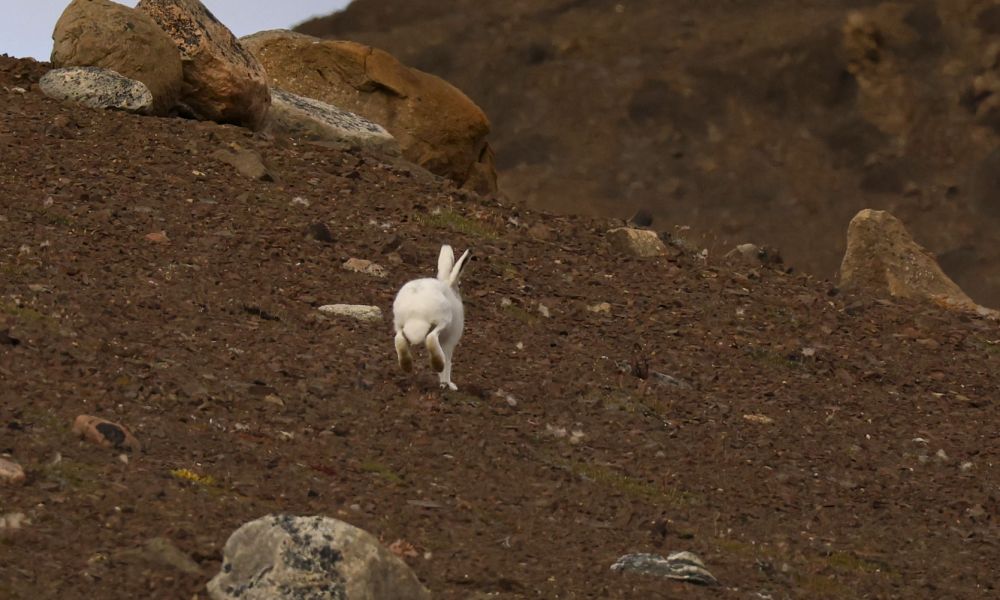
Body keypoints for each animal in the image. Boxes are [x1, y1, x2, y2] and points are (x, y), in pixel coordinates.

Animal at [392, 244, 472, 390]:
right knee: (431, 338)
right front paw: (447, 384)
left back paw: (406, 365)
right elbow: (448, 362)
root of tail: (416, 314)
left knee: (399, 338)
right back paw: (437, 365)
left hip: (398, 322)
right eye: (459, 284)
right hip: (443, 320)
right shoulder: (450, 341)